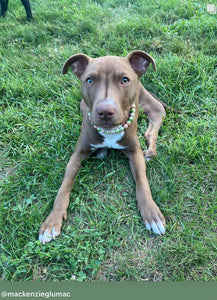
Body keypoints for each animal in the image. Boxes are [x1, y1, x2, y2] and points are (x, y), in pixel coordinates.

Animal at [38, 50, 166, 243]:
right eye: (89, 80)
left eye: (125, 80)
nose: (105, 111)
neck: (110, 131)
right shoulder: (77, 154)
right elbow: (64, 186)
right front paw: (52, 221)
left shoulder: (135, 152)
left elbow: (143, 183)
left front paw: (152, 214)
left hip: (146, 100)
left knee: (157, 115)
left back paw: (150, 150)